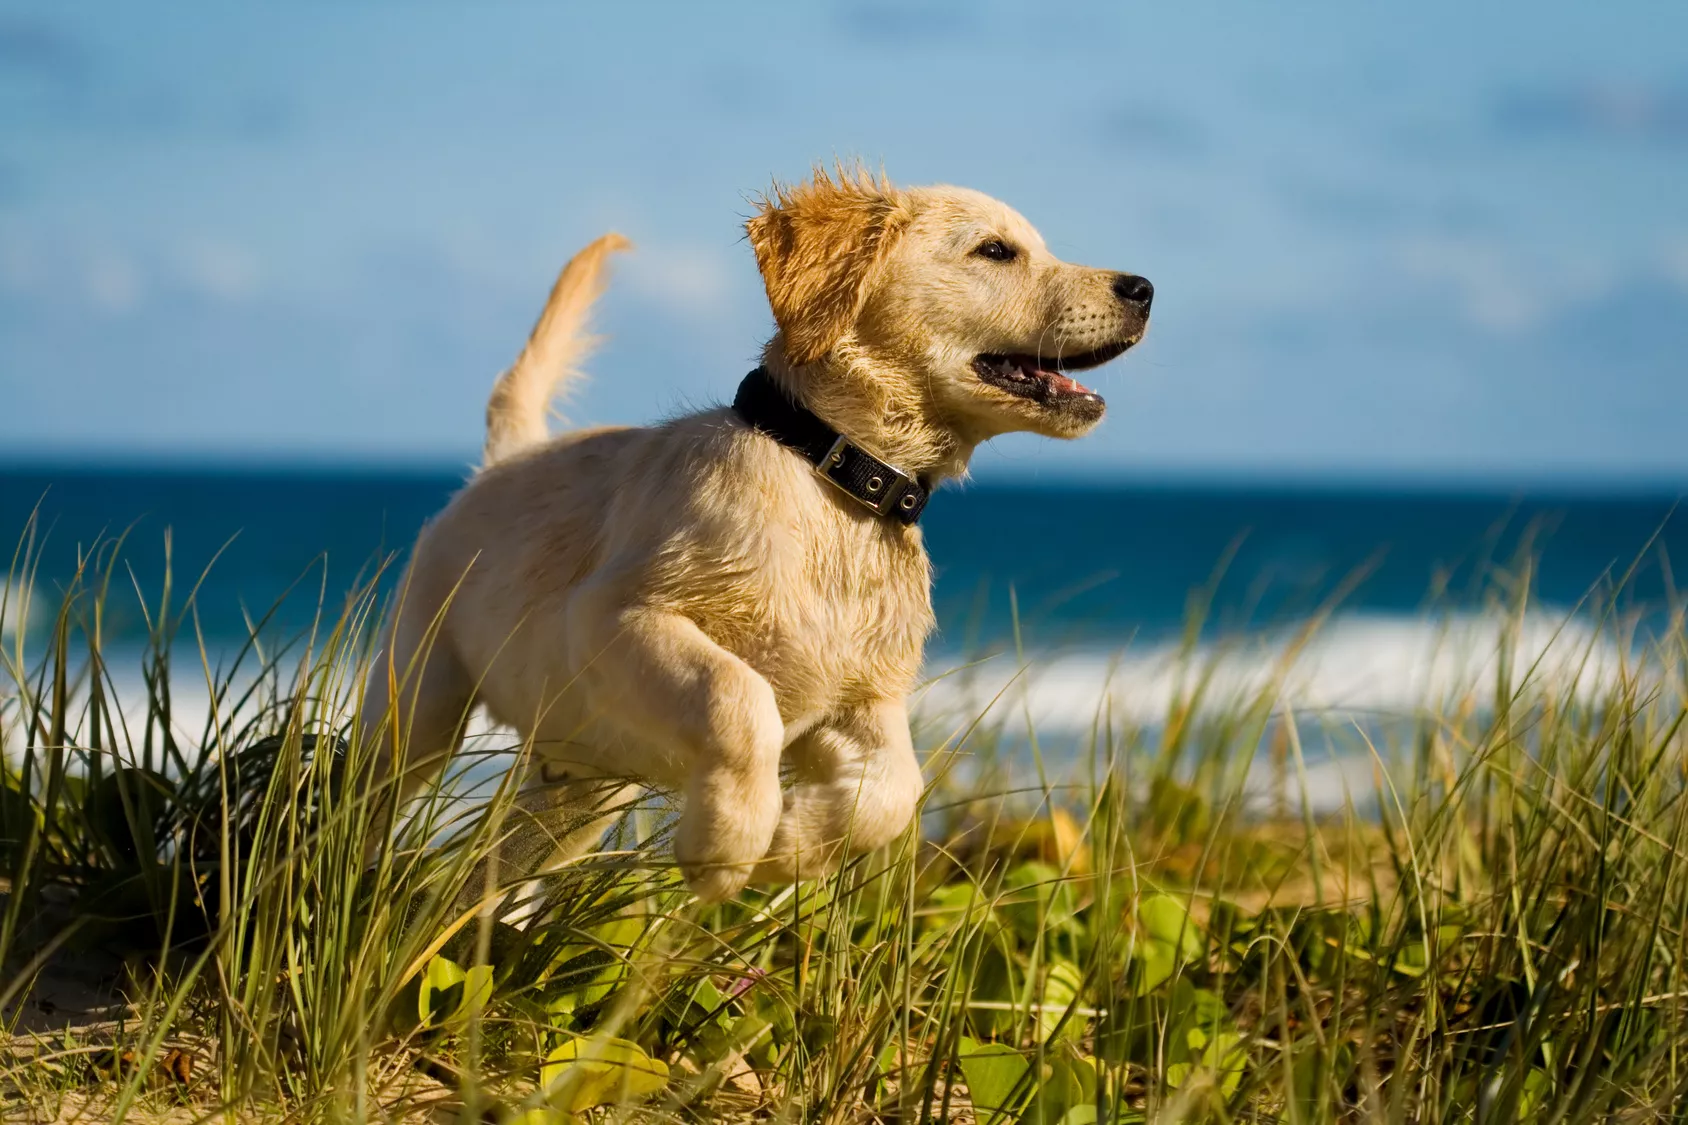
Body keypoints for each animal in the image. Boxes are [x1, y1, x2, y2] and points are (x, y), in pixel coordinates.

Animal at [354, 166, 1147, 898]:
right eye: (996, 250)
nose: (1143, 288)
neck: (834, 477)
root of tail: (508, 457)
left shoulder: (863, 697)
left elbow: (894, 788)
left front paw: (792, 846)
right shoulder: (616, 616)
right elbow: (739, 699)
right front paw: (726, 845)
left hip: (580, 790)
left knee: (478, 880)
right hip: (419, 699)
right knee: (364, 795)